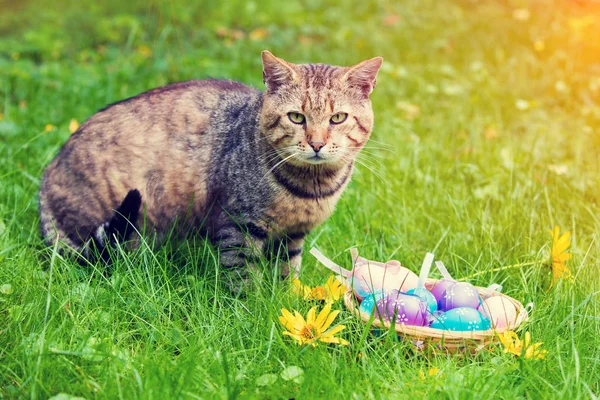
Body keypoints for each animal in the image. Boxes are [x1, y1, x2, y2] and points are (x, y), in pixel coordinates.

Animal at [38, 50, 384, 284]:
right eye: (296, 117)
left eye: (337, 118)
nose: (316, 143)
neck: (310, 187)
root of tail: (47, 172)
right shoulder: (238, 224)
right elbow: (243, 279)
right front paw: (252, 315)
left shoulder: (292, 236)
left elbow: (287, 274)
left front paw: (286, 299)